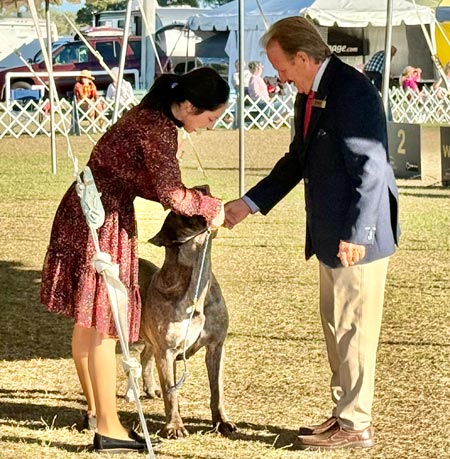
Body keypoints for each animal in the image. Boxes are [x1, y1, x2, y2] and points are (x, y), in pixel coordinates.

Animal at [137, 207, 237, 439]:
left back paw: (150, 389)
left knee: (144, 356)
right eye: (182, 214)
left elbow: (217, 389)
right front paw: (174, 426)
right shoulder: (167, 352)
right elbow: (171, 392)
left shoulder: (216, 347)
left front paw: (222, 422)